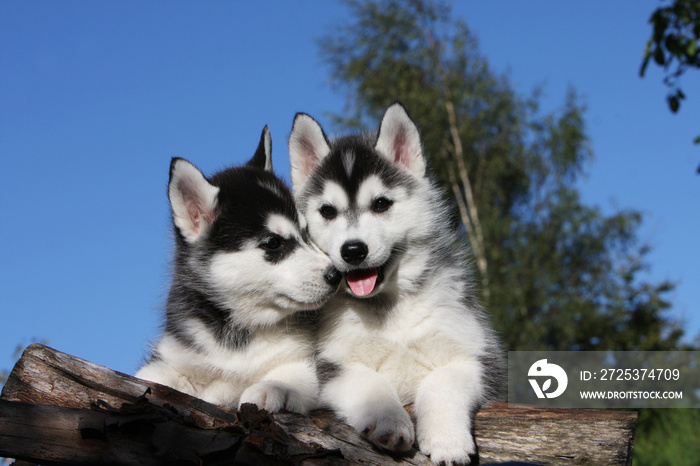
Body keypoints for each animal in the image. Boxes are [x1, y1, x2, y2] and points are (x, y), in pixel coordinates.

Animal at [137, 125, 342, 414]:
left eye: (307, 233)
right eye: (273, 243)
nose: (336, 275)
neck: (240, 333)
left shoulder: (305, 359)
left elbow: (293, 376)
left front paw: (271, 389)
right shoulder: (171, 356)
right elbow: (147, 376)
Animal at [290, 104, 504, 464]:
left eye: (381, 204)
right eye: (327, 211)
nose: (353, 250)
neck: (390, 309)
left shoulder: (478, 354)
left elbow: (443, 381)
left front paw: (447, 440)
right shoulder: (331, 364)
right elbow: (370, 384)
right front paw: (389, 421)